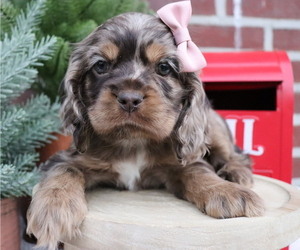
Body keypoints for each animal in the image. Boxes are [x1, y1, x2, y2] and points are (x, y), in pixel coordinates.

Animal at [27, 10, 264, 250]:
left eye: (164, 67)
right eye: (101, 65)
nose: (129, 99)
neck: (133, 141)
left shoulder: (179, 163)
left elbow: (198, 171)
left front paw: (226, 191)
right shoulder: (69, 157)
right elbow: (64, 171)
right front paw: (54, 209)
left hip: (214, 128)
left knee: (235, 154)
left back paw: (235, 173)